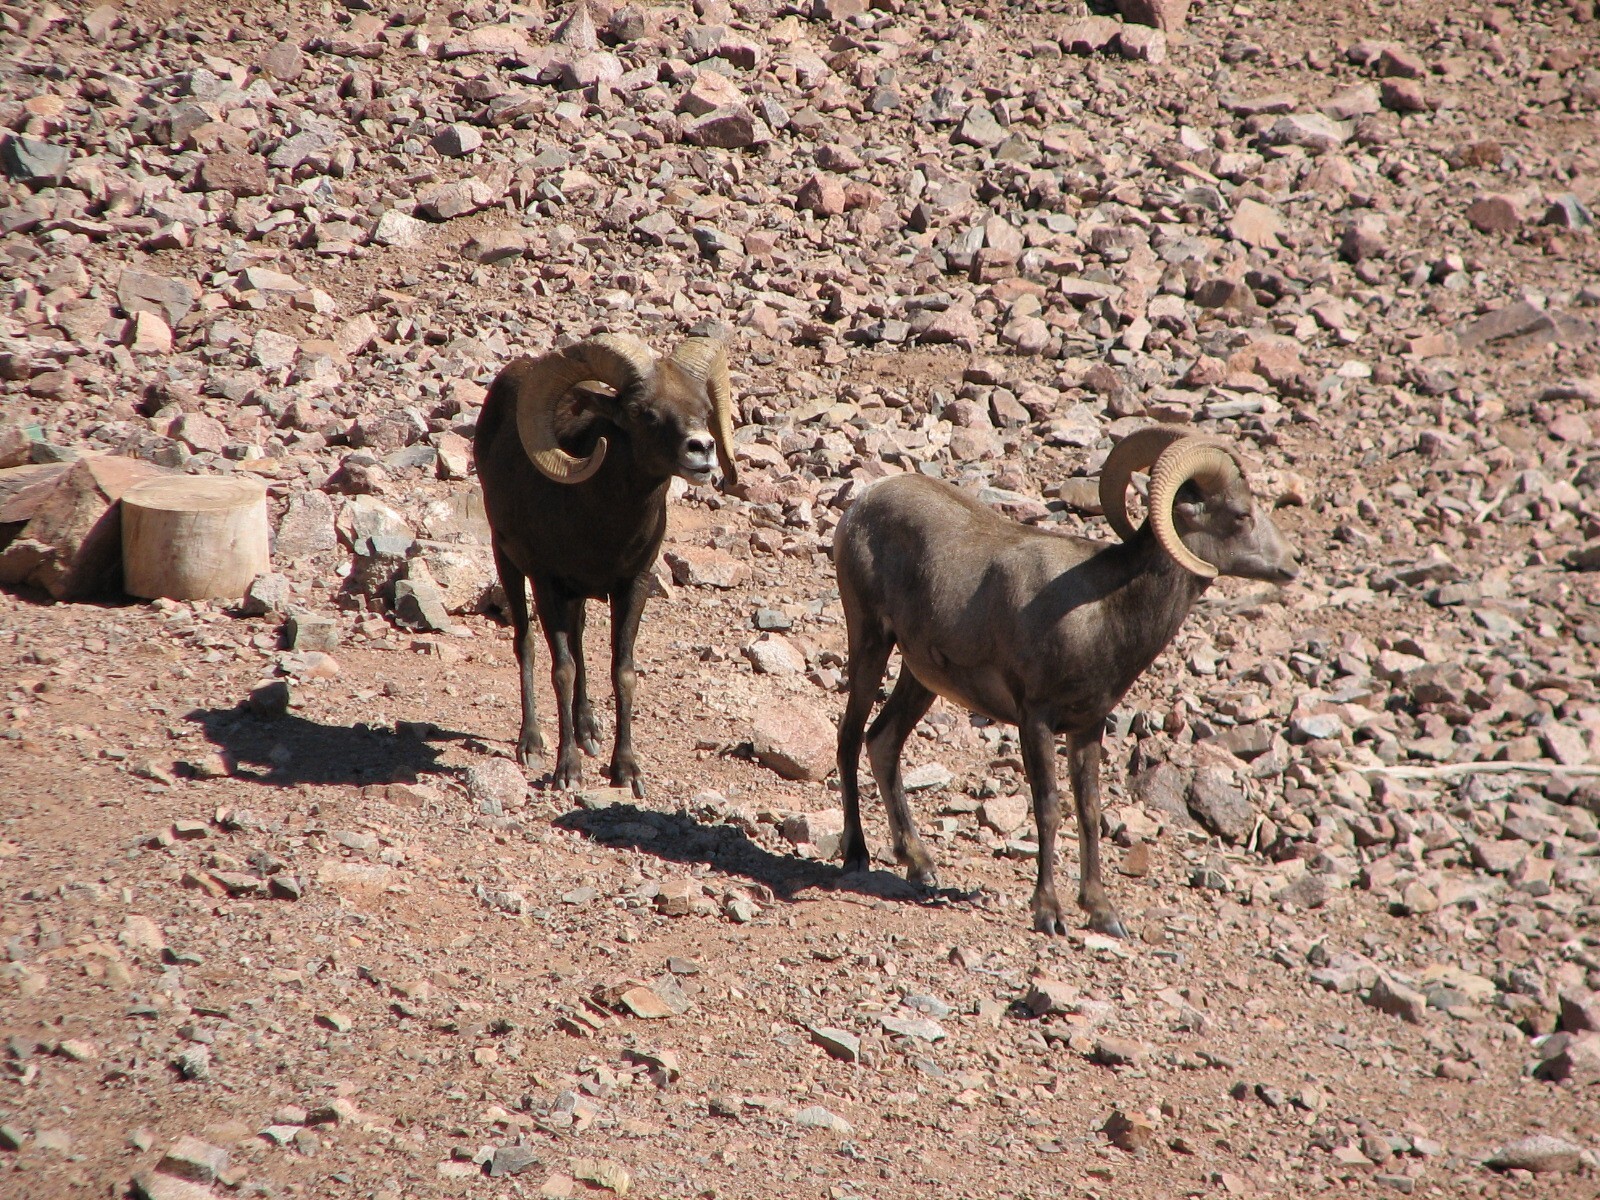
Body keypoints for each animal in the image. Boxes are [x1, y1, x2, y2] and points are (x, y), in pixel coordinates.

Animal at [474, 333, 738, 797]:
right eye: (640, 412)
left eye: (704, 408)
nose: (702, 449)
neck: (598, 525)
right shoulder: (548, 585)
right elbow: (562, 670)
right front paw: (567, 771)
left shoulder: (632, 586)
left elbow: (622, 671)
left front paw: (626, 770)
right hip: (507, 560)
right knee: (526, 643)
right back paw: (532, 744)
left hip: (575, 598)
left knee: (578, 641)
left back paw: (588, 731)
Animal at [832, 426, 1301, 935]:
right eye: (1240, 514)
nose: (1292, 564)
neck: (1103, 610)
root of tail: (864, 503)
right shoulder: (1035, 719)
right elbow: (1049, 808)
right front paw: (1049, 912)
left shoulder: (1087, 726)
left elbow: (1089, 811)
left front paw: (1101, 912)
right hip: (870, 641)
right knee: (850, 737)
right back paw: (856, 855)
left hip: (921, 679)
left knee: (883, 741)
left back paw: (920, 864)